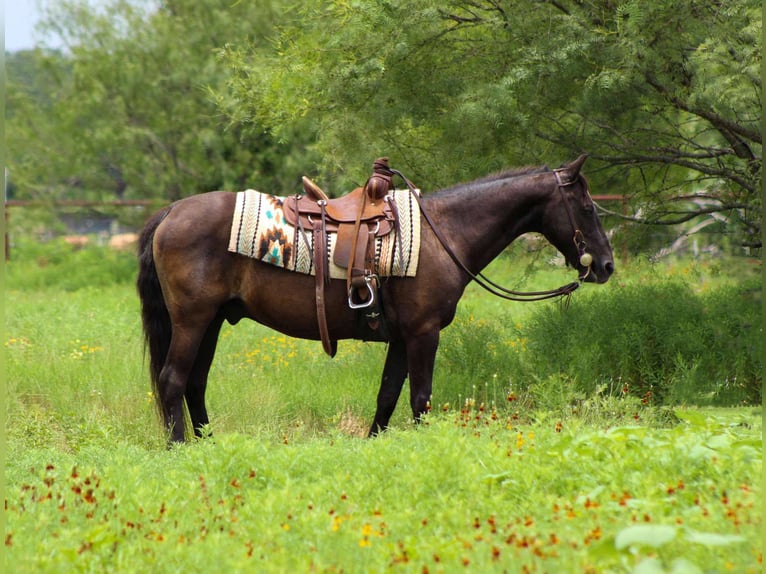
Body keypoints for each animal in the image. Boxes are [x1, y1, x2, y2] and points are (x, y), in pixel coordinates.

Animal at [137, 155, 614, 443]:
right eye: (587, 207)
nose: (606, 265)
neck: (444, 233)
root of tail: (170, 211)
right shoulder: (423, 334)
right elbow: (420, 397)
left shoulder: (402, 337)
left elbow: (388, 395)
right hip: (192, 320)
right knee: (173, 380)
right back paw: (181, 448)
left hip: (213, 321)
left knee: (194, 383)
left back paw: (208, 443)